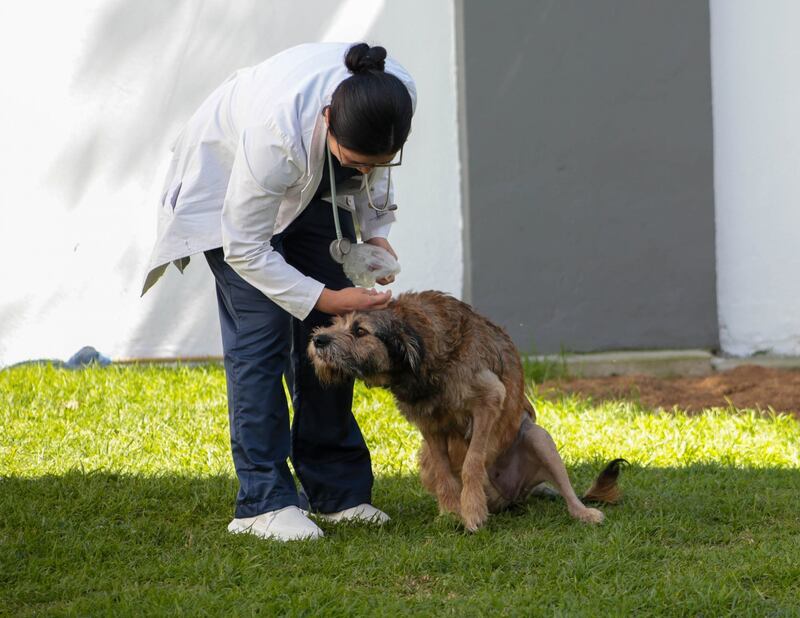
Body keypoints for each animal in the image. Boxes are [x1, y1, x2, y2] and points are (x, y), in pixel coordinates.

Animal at [308, 290, 624, 528]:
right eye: (335, 323)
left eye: (360, 330)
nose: (317, 339)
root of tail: (514, 496)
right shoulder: (429, 425)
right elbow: (445, 472)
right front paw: (451, 513)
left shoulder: (489, 402)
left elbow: (472, 462)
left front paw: (471, 511)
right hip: (423, 457)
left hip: (539, 437)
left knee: (567, 490)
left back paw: (583, 512)